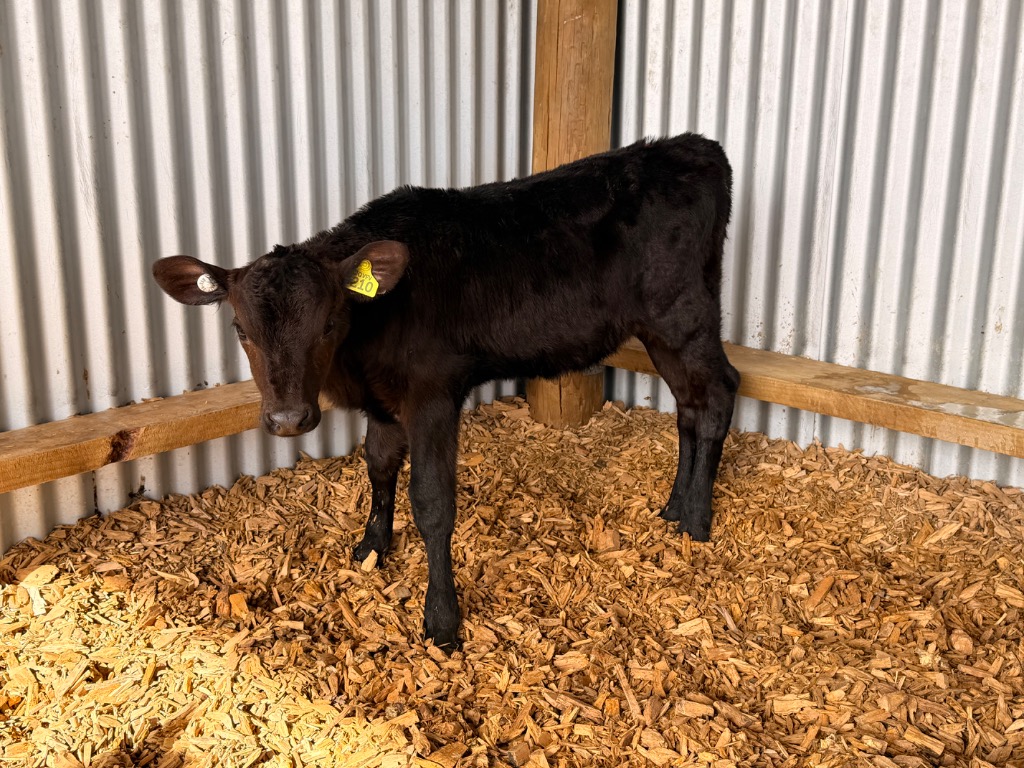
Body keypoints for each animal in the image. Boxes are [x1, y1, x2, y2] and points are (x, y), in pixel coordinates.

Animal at [153, 133, 739, 649]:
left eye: (328, 324)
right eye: (241, 330)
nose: (289, 420)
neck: (365, 346)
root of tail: (697, 147)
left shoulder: (432, 395)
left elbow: (432, 501)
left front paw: (441, 619)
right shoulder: (383, 400)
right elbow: (379, 465)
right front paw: (371, 547)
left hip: (683, 312)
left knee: (719, 392)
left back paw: (698, 518)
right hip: (660, 328)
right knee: (688, 404)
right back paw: (674, 508)